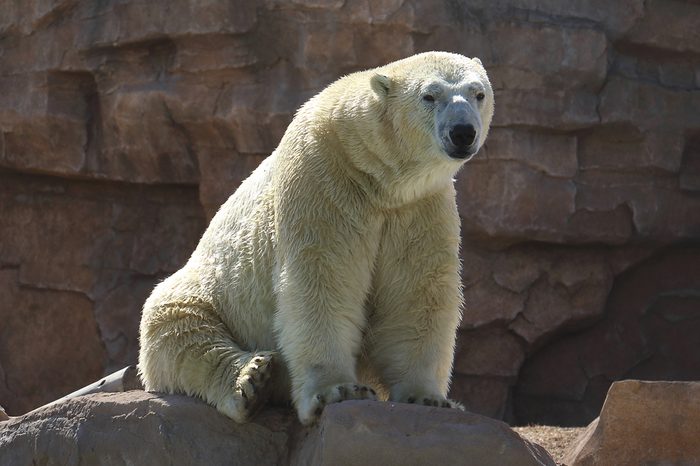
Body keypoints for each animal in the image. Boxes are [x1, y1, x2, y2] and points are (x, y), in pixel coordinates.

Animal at [138, 51, 494, 425]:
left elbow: (415, 292)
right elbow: (323, 278)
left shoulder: (418, 205)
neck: (375, 174)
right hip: (208, 292)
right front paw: (337, 390)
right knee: (180, 329)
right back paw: (251, 379)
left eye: (478, 93)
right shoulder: (323, 181)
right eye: (429, 96)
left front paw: (428, 398)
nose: (462, 132)